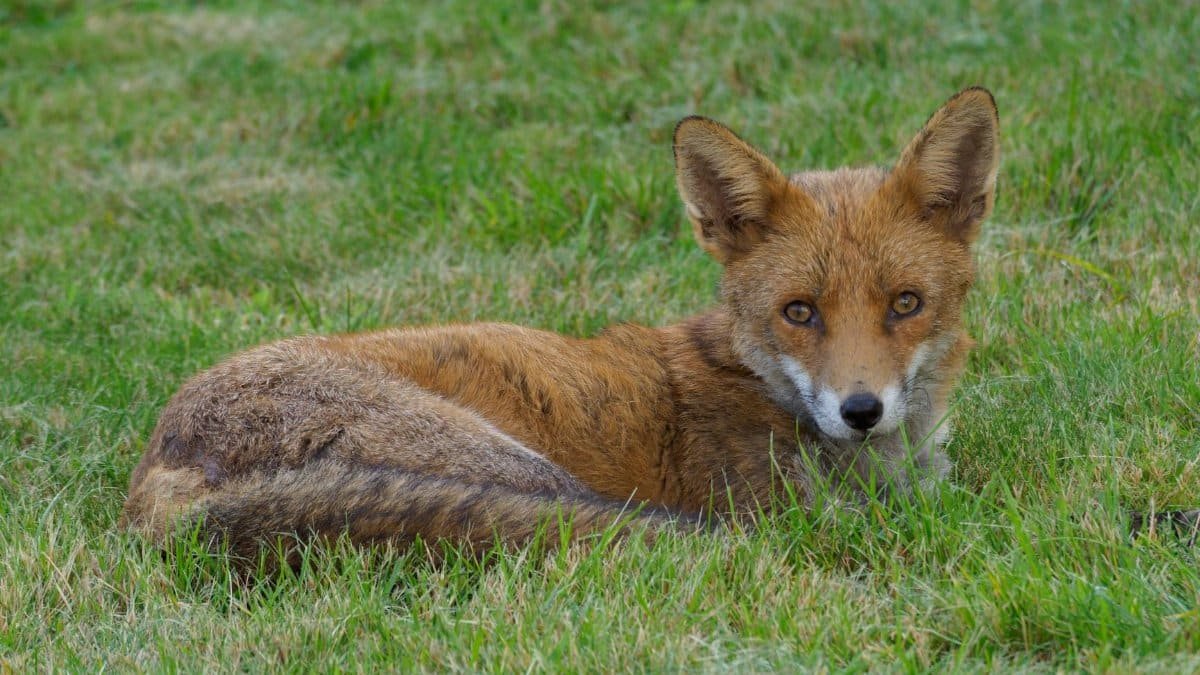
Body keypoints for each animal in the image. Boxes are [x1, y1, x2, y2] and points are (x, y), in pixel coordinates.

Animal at [121, 88, 1003, 562]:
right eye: (800, 312)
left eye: (905, 303)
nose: (862, 410)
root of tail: (157, 468)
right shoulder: (782, 504)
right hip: (516, 469)